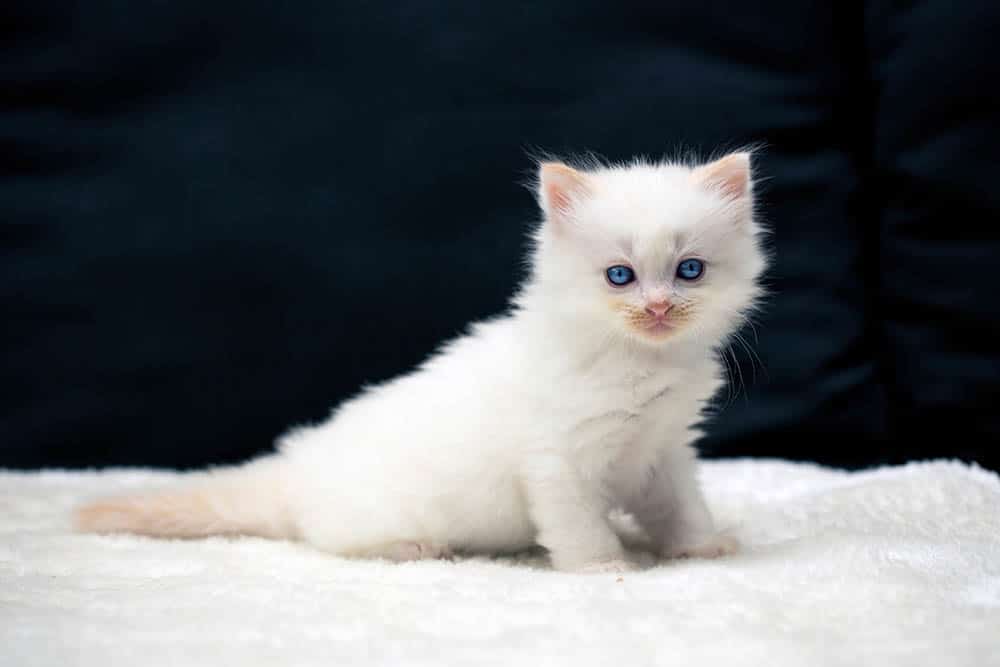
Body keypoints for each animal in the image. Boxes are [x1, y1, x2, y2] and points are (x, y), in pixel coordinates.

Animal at [76, 151, 764, 576]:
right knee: (336, 542)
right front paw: (604, 568)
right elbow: (578, 526)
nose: (657, 308)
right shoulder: (558, 461)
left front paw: (702, 549)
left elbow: (682, 508)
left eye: (689, 270)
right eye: (620, 277)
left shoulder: (666, 449)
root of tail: (295, 471)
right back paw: (417, 548)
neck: (638, 360)